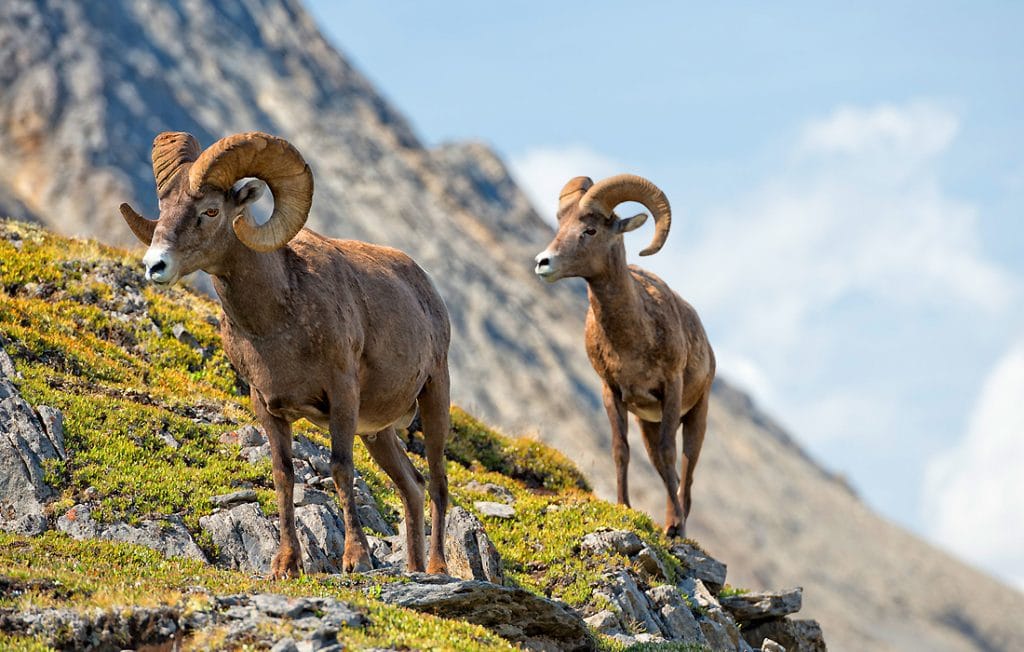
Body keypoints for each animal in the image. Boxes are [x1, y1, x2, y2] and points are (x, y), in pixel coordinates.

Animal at [118, 131, 448, 573]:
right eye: (164, 208)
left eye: (210, 210)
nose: (155, 265)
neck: (277, 321)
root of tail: (426, 286)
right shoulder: (267, 406)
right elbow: (283, 475)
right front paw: (286, 565)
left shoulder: (342, 395)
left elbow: (340, 468)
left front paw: (356, 560)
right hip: (378, 433)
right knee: (412, 486)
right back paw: (413, 569)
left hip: (434, 397)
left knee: (438, 484)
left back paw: (438, 569)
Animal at [532, 174, 716, 532]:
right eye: (561, 224)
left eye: (590, 230)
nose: (542, 263)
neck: (632, 340)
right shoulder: (612, 392)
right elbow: (621, 451)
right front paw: (624, 506)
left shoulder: (671, 388)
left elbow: (670, 453)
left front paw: (674, 526)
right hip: (648, 423)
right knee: (663, 468)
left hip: (696, 413)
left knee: (685, 471)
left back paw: (678, 523)